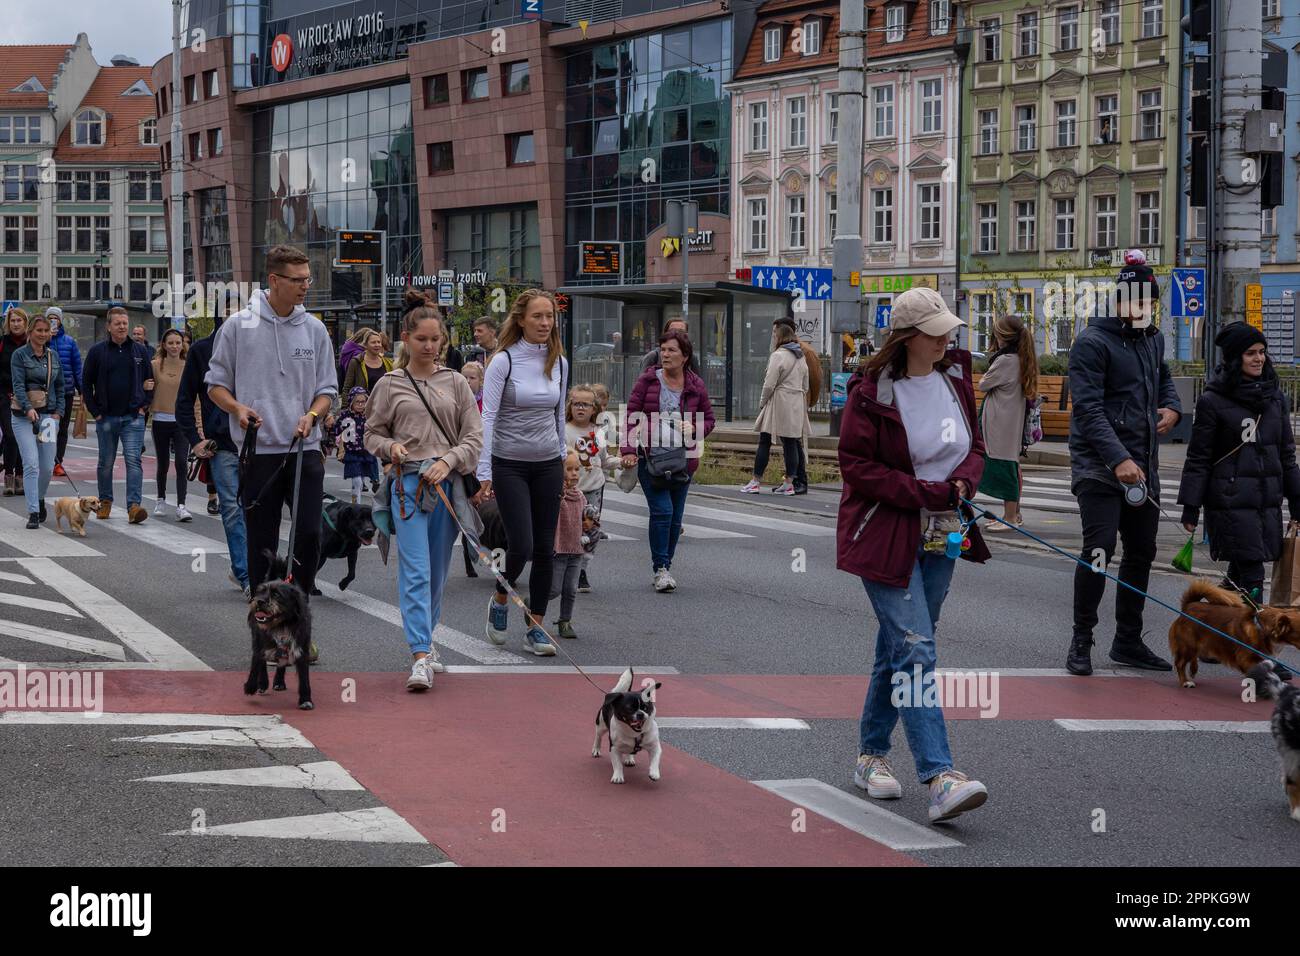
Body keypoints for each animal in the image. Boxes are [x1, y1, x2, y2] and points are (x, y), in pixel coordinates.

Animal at [244, 554, 313, 712]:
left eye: (277, 594)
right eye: (260, 591)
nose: (259, 601)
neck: (281, 624)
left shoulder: (300, 649)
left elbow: (304, 678)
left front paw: (306, 700)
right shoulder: (260, 644)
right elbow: (256, 663)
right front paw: (251, 686)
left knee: (282, 662)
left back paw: (279, 682)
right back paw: (263, 683)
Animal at [1170, 580, 1300, 691]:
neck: (1261, 628)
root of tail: (1189, 605)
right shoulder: (1246, 659)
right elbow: (1263, 674)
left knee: (1193, 657)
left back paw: (1193, 670)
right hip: (1188, 646)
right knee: (1180, 663)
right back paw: (1185, 681)